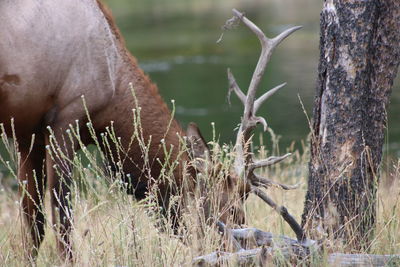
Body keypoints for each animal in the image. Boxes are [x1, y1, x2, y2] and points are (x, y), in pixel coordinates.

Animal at [0, 0, 306, 262]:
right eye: (232, 210)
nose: (234, 253)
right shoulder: (66, 118)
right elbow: (61, 219)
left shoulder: (28, 134)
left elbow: (33, 225)